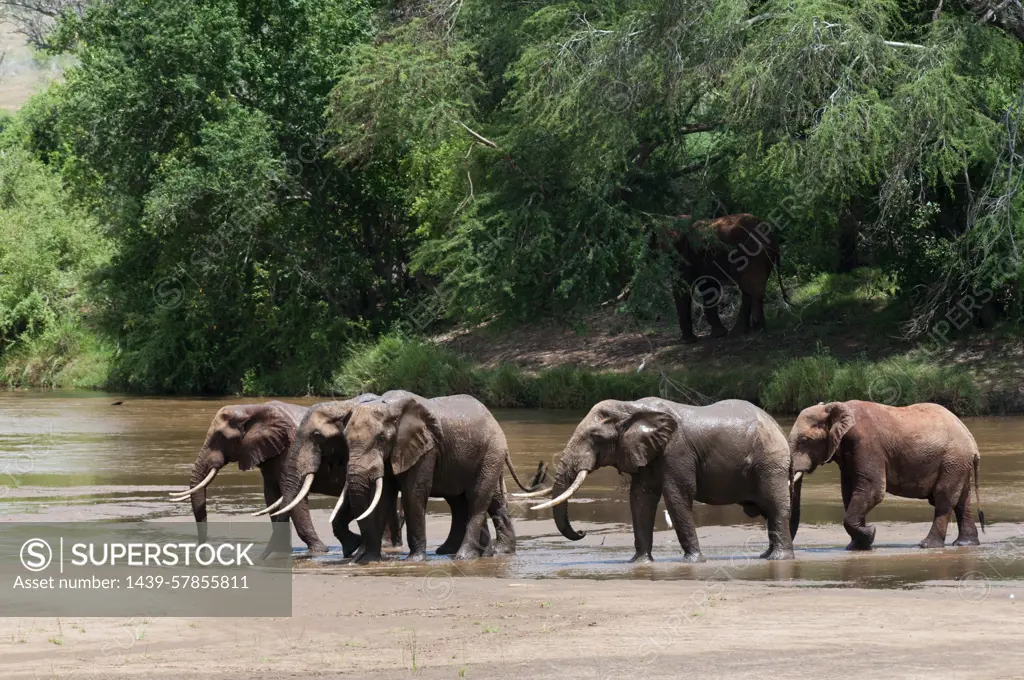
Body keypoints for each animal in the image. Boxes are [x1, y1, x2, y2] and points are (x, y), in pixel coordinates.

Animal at [532, 399, 794, 561]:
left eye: (595, 437)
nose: (582, 532)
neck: (631, 407)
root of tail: (778, 426)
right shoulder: (644, 452)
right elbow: (640, 500)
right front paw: (639, 562)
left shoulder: (677, 451)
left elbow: (677, 497)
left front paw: (693, 561)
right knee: (768, 511)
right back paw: (765, 556)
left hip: (770, 463)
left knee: (775, 507)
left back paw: (780, 558)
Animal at [651, 213, 786, 342]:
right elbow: (708, 286)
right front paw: (719, 334)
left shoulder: (682, 253)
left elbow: (684, 287)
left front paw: (688, 341)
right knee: (751, 288)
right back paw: (747, 331)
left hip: (753, 254)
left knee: (751, 286)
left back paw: (750, 331)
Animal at [782, 401, 983, 548]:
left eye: (804, 440)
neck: (836, 407)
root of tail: (972, 441)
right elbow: (849, 492)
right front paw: (858, 545)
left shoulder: (866, 444)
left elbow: (872, 490)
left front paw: (870, 534)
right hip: (959, 463)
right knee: (962, 501)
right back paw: (965, 544)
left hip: (953, 459)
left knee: (944, 498)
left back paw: (927, 545)